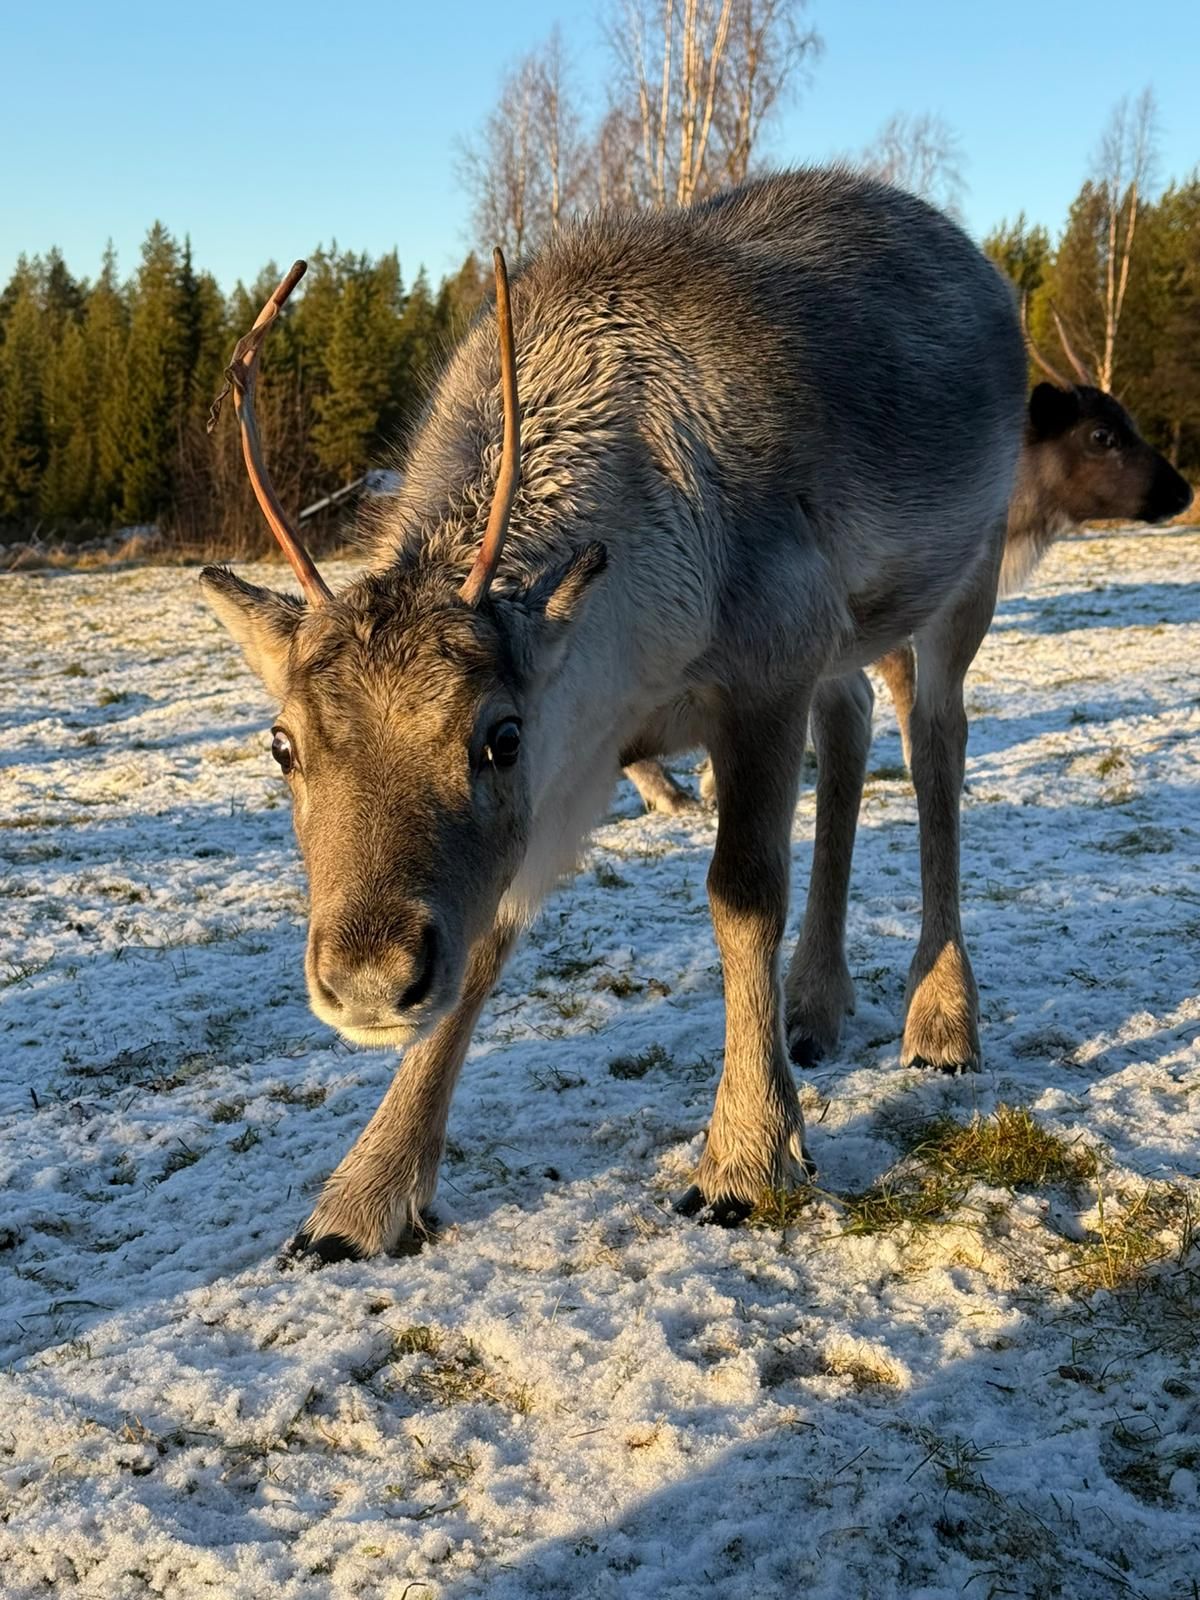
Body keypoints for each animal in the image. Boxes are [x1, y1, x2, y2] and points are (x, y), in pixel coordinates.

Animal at [202, 168, 1029, 1262]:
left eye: (498, 735)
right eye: (281, 744)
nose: (370, 978)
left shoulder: (764, 662)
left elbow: (741, 893)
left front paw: (747, 1157)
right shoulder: (594, 740)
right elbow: (487, 940)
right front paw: (363, 1198)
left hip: (968, 565)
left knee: (937, 740)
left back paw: (940, 1022)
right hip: (851, 635)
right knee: (853, 725)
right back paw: (815, 1004)